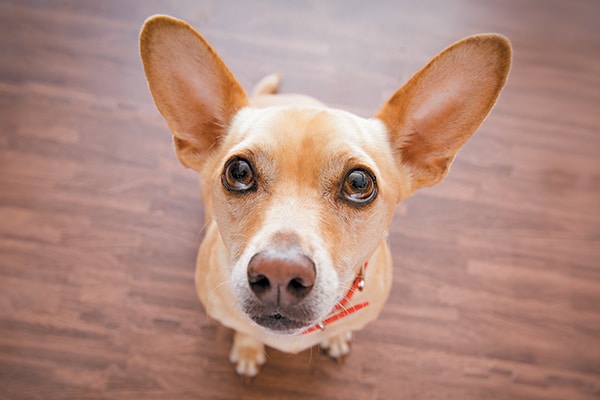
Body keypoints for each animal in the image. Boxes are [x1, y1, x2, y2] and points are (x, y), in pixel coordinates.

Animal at [139, 15, 510, 376]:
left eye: (359, 183)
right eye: (239, 172)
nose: (279, 271)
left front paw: (338, 336)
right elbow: (244, 328)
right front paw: (247, 348)